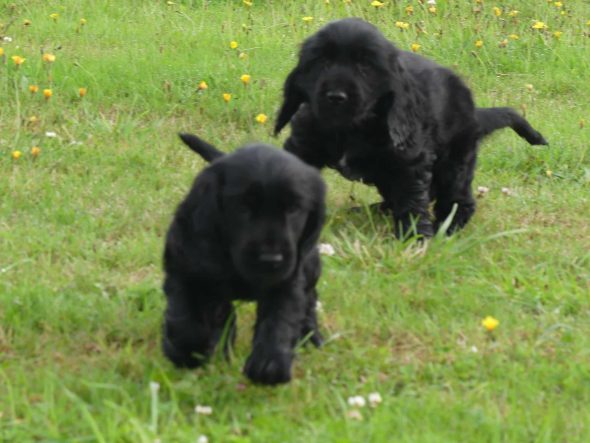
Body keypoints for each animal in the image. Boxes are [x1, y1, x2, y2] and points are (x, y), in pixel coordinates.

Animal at [162, 133, 328, 386]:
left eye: (293, 209)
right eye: (243, 207)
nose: (271, 258)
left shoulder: (288, 276)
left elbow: (281, 317)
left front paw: (270, 363)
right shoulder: (186, 266)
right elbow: (187, 315)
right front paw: (187, 352)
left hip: (309, 263)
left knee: (309, 299)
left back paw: (311, 337)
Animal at [276, 18, 548, 239]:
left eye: (365, 66)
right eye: (322, 61)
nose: (336, 96)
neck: (351, 128)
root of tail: (473, 110)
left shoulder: (410, 160)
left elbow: (412, 201)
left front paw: (415, 239)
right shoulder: (305, 145)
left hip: (454, 160)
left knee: (457, 200)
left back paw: (446, 231)